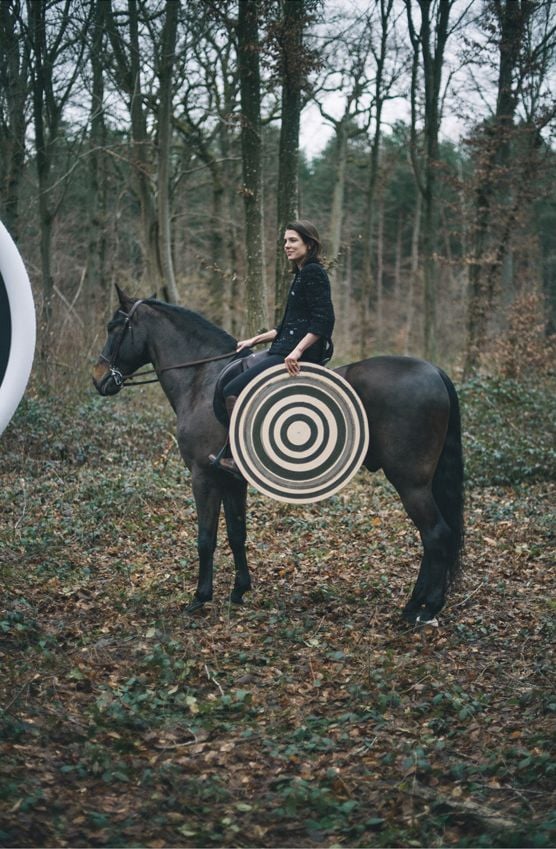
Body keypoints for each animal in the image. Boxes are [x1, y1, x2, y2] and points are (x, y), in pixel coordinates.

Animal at [93, 288, 462, 628]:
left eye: (114, 327)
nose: (98, 378)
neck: (203, 379)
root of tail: (434, 371)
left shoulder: (203, 476)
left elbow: (205, 539)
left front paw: (200, 597)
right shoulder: (230, 479)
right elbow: (236, 533)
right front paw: (240, 590)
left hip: (410, 482)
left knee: (435, 535)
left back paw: (423, 608)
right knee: (434, 538)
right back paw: (421, 605)